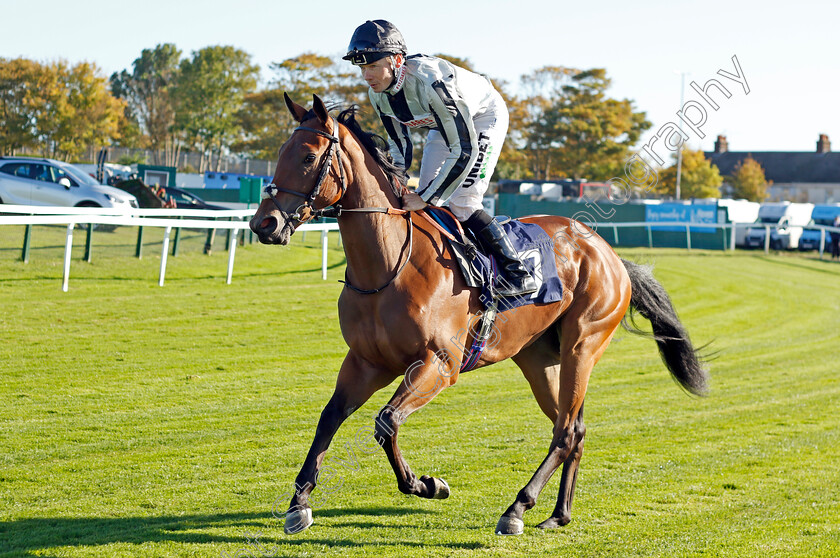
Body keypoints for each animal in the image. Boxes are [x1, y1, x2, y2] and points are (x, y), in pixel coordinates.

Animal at [249, 95, 708, 540]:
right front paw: (299, 504)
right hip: (539, 359)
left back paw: (517, 509)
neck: (390, 265)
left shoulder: (439, 364)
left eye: (308, 157)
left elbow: (386, 421)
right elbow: (330, 418)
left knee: (564, 432)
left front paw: (427, 484)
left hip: (583, 347)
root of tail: (608, 253)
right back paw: (558, 514)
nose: (263, 223)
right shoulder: (366, 362)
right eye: (280, 153)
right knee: (573, 429)